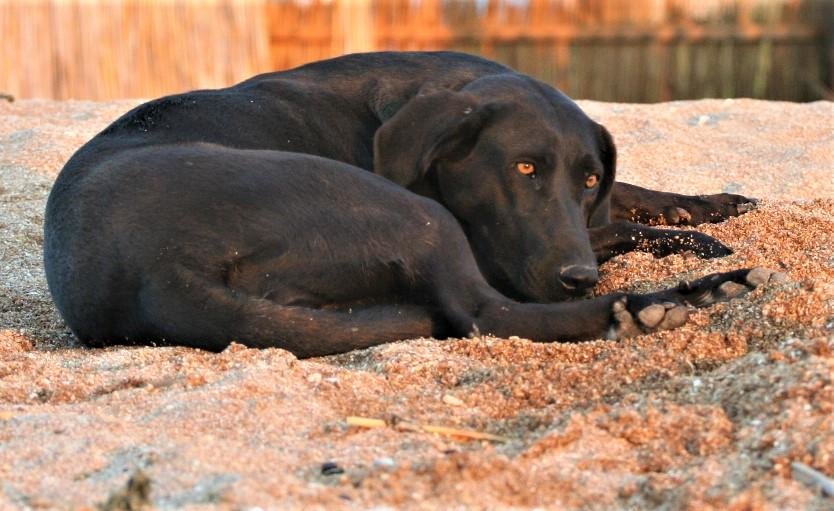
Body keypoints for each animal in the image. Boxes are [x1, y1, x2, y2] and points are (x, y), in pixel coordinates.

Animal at [44, 51, 772, 356]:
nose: (578, 278)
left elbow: (626, 203)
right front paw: (690, 242)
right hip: (415, 220)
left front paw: (703, 208)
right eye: (524, 168)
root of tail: (161, 268)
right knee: (487, 313)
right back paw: (673, 299)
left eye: (588, 178)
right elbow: (612, 227)